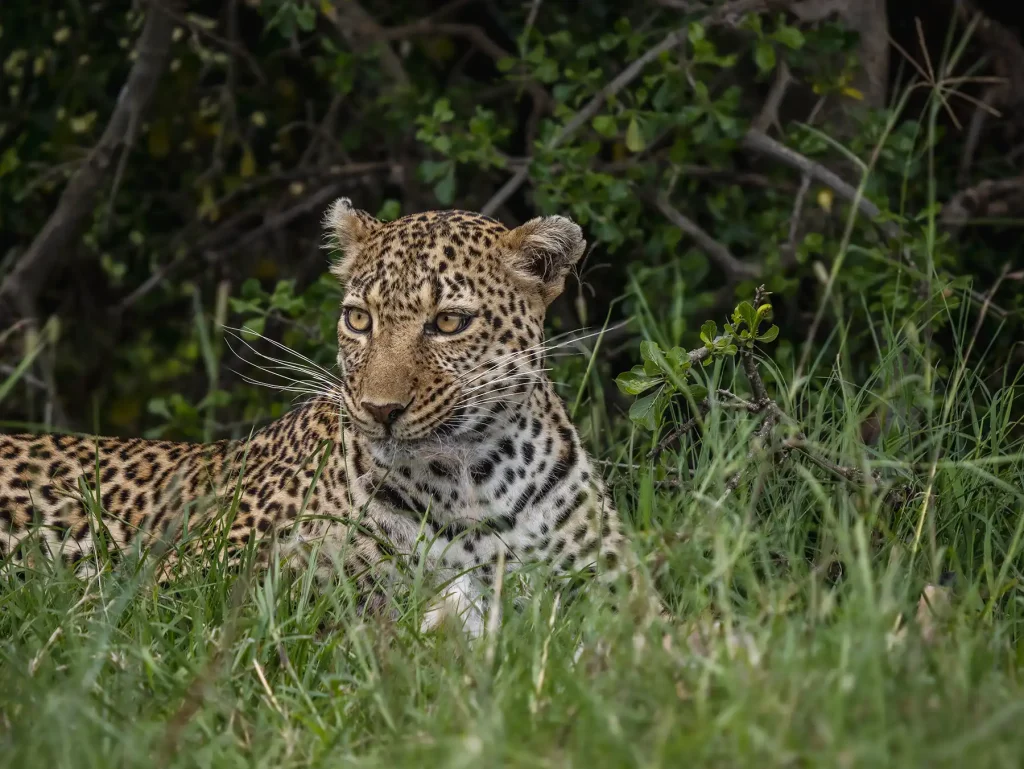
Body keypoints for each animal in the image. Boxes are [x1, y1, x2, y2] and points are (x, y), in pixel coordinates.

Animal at [0, 199, 659, 638]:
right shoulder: (188, 585)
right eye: (359, 319)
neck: (469, 479)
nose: (380, 409)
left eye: (449, 322)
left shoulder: (620, 592)